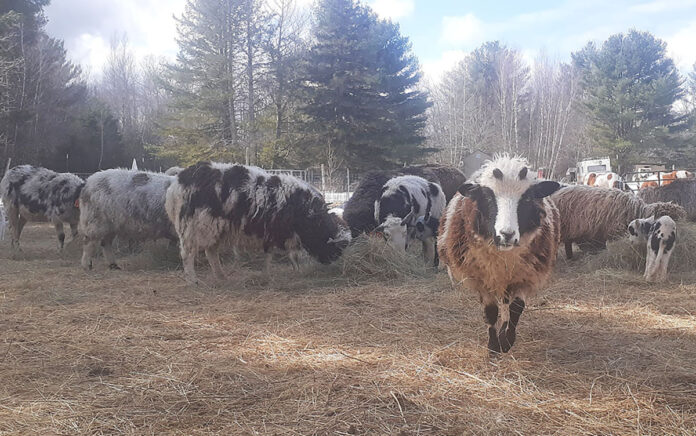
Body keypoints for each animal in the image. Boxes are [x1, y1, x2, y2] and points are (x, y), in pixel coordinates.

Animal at [438, 155, 561, 355]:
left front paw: (506, 340)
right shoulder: (481, 278)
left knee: (506, 303)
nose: (507, 234)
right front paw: (493, 347)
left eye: (527, 198)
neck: (504, 255)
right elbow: (490, 312)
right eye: (488, 196)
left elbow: (516, 308)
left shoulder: (525, 275)